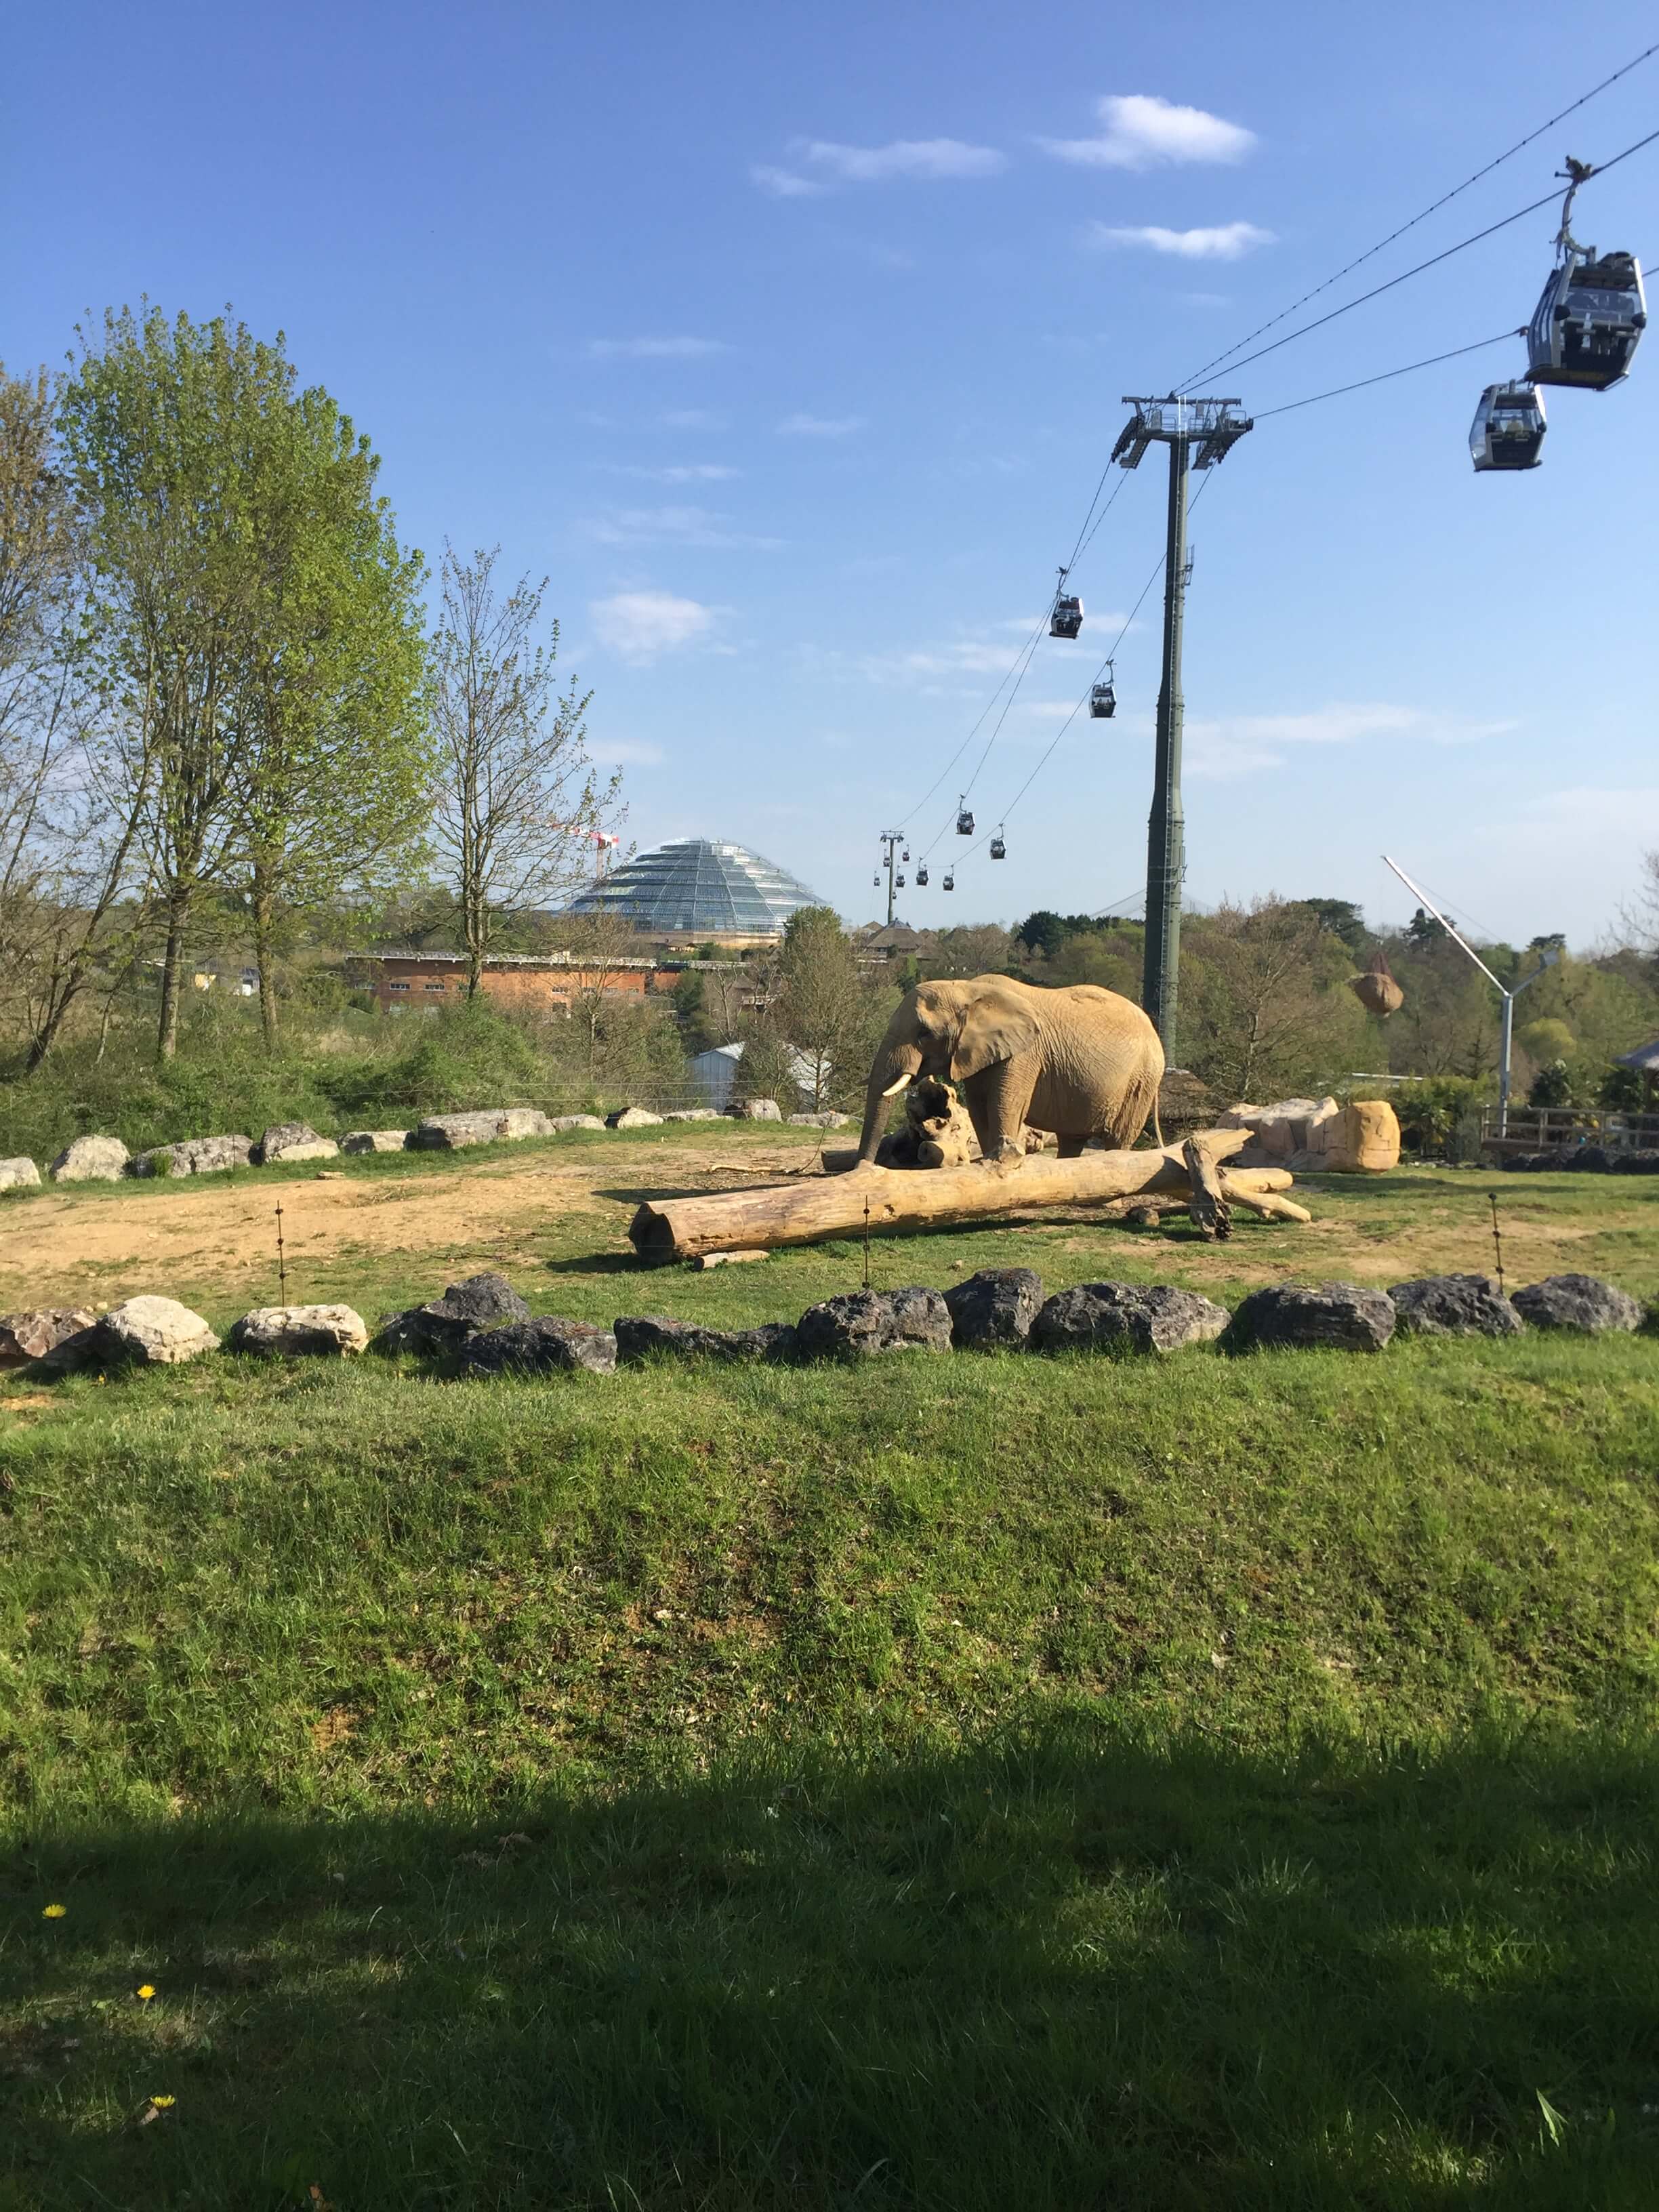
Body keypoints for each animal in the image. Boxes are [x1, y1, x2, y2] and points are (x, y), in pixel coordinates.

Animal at [858, 977, 1168, 1168]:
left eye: (924, 1034)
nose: (864, 1167)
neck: (968, 989)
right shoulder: (978, 1054)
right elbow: (980, 1112)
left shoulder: (1023, 1055)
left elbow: (1003, 1108)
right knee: (1072, 1138)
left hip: (1141, 1081)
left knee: (1119, 1137)